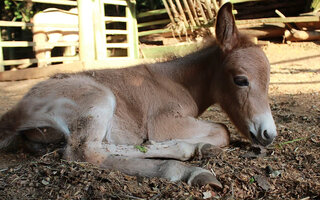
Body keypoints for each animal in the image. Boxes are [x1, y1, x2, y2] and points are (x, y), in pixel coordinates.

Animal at [0, 3, 276, 188]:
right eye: (241, 80)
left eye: (268, 81)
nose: (269, 134)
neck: (177, 81)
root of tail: (13, 115)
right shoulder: (164, 121)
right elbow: (223, 130)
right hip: (99, 98)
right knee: (84, 152)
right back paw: (187, 169)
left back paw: (191, 148)